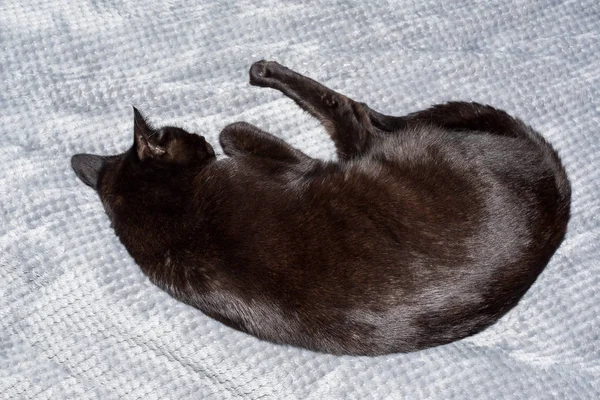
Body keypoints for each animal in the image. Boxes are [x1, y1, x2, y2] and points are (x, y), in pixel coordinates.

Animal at [71, 61, 572, 354]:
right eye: (186, 136)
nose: (198, 138)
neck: (167, 218)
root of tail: (555, 185)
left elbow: (232, 132)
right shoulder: (291, 165)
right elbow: (234, 130)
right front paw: (229, 131)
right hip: (390, 150)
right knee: (355, 112)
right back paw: (267, 71)